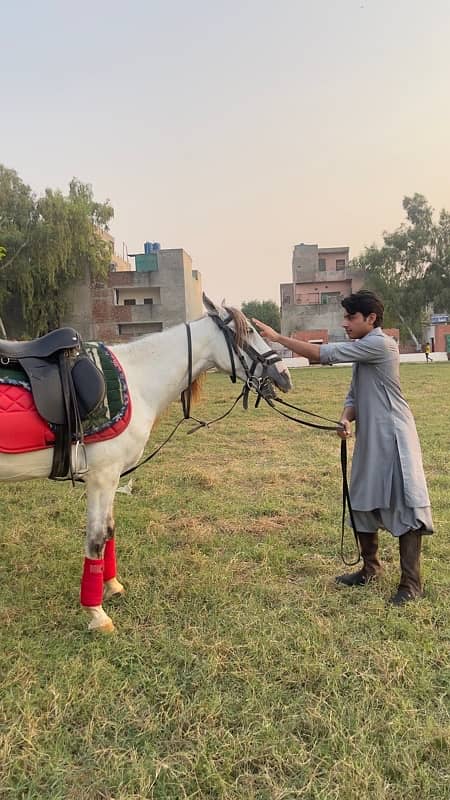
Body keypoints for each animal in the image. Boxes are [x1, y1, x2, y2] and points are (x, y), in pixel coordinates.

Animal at [0, 294, 292, 632]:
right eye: (249, 333)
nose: (284, 376)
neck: (138, 380)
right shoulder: (102, 477)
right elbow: (96, 539)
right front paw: (97, 614)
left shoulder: (111, 478)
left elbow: (109, 531)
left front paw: (112, 586)